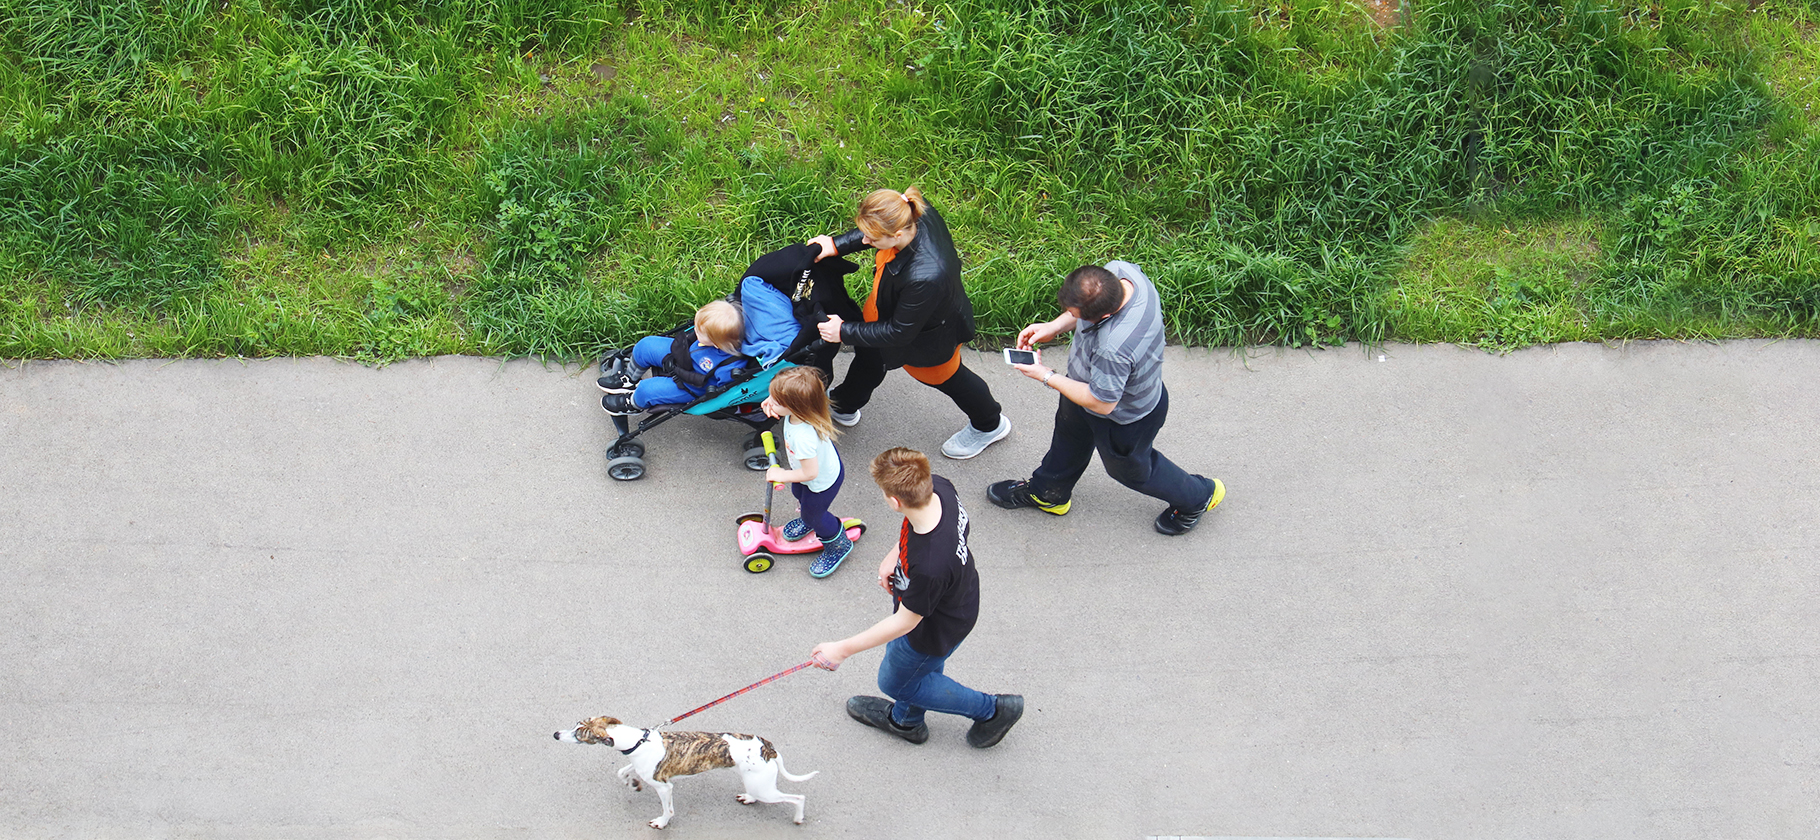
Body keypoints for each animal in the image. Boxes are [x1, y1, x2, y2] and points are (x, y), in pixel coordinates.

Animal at [546, 716, 819, 825]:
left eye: (579, 734)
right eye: (576, 724)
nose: (556, 734)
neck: (637, 740)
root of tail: (768, 747)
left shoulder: (664, 786)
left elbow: (668, 809)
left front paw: (662, 823)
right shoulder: (643, 767)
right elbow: (622, 771)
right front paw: (632, 783)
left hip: (765, 788)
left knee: (798, 797)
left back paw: (798, 817)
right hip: (756, 782)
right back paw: (749, 798)